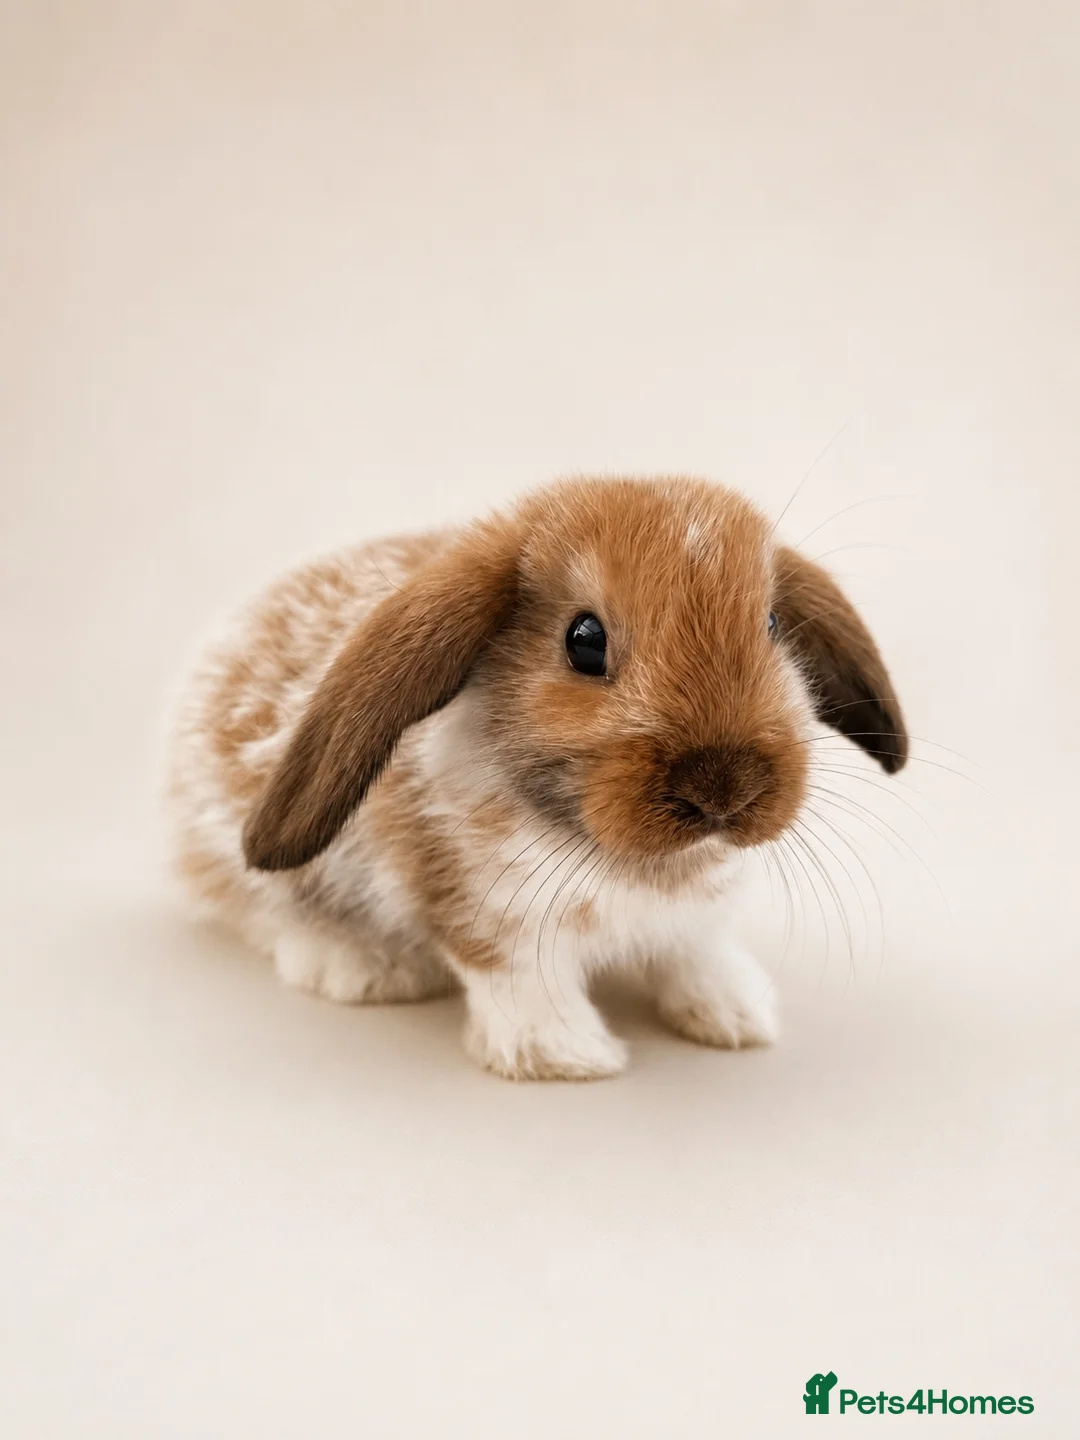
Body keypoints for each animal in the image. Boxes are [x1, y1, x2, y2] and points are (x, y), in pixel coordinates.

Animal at [164, 476, 907, 1080]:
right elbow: (519, 979)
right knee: (263, 914)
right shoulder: (490, 913)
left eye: (773, 624)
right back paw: (363, 966)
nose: (723, 788)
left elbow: (696, 956)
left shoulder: (694, 922)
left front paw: (738, 1015)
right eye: (584, 640)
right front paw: (567, 1055)